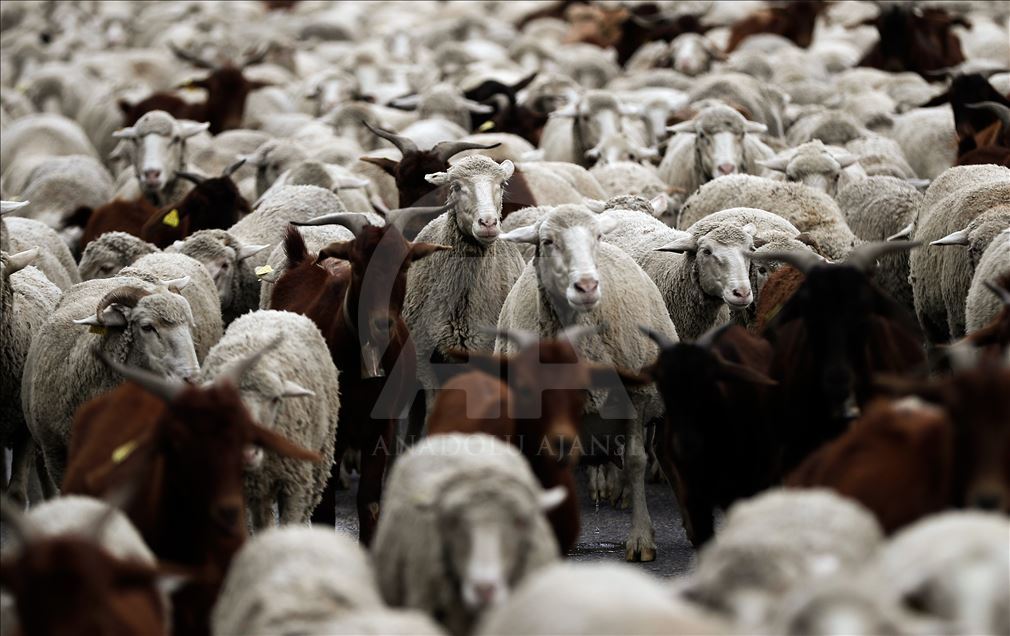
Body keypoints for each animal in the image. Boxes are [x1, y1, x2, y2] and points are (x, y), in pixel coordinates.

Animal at [496, 204, 678, 561]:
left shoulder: (634, 395)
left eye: (597, 236)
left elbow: (635, 461)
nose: (587, 286)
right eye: (547, 241)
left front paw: (641, 539)